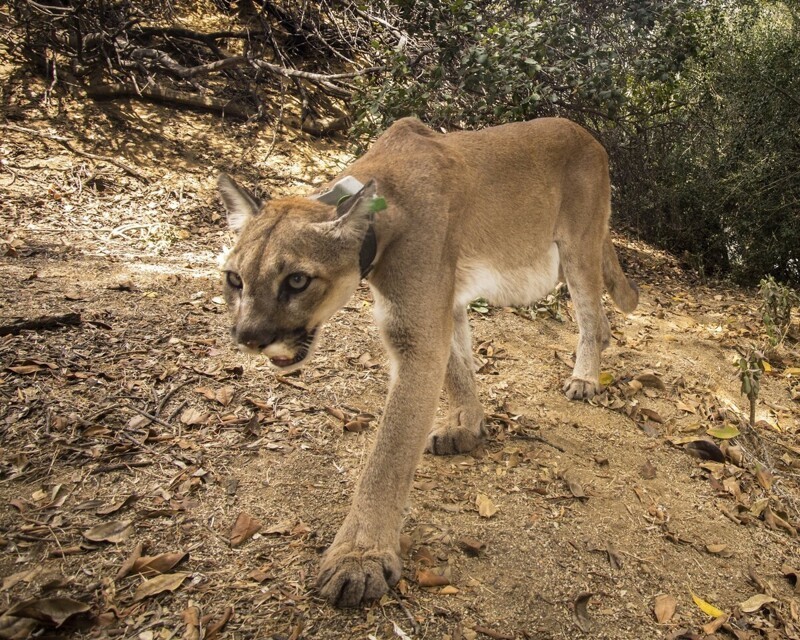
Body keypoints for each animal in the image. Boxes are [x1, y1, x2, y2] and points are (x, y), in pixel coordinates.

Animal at [217, 116, 636, 608]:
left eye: (298, 281)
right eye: (234, 279)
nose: (249, 337)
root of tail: (586, 134)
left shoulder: (417, 334)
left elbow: (390, 452)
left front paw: (359, 557)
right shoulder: (443, 304)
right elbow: (458, 367)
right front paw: (467, 428)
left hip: (578, 247)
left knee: (595, 319)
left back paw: (585, 378)